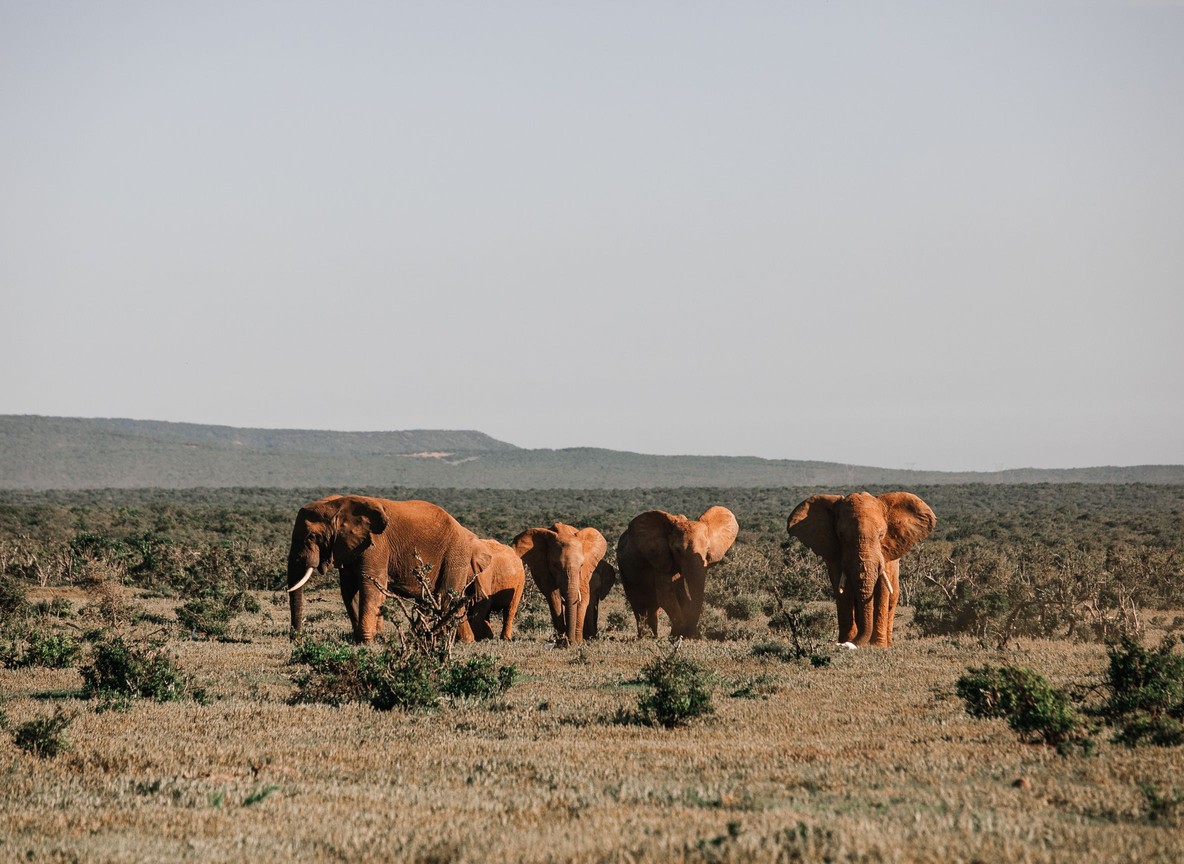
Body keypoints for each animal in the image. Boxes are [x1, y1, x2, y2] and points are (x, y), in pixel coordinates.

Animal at [286, 495, 492, 644]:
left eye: (312, 537)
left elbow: (371, 585)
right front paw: (360, 639)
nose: (296, 639)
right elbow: (349, 590)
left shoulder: (376, 545)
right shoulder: (348, 547)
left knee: (447, 597)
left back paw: (448, 640)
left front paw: (365, 642)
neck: (338, 504)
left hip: (456, 553)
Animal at [616, 506, 739, 639]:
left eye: (707, 550)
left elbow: (680, 594)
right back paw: (644, 637)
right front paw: (676, 635)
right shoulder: (660, 559)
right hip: (624, 569)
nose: (691, 636)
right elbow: (665, 596)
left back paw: (654, 636)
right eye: (677, 550)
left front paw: (680, 634)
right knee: (637, 604)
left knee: (653, 607)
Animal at [786, 491, 936, 648]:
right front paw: (845, 641)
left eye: (881, 534)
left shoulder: (885, 555)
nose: (847, 645)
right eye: (841, 535)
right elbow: (844, 592)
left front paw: (878, 645)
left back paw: (887, 643)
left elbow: (882, 591)